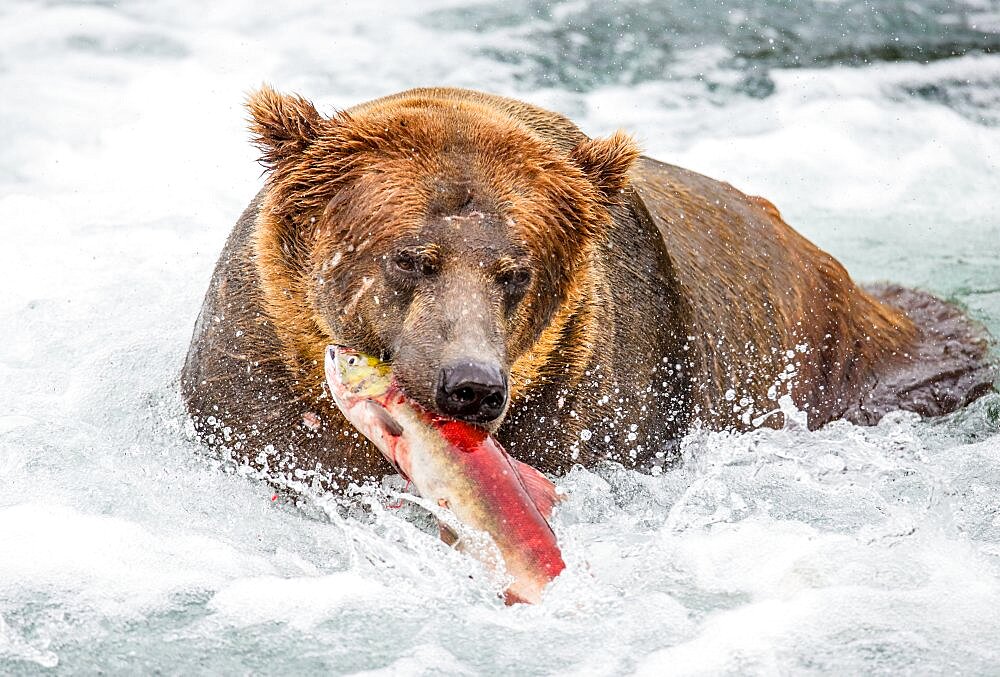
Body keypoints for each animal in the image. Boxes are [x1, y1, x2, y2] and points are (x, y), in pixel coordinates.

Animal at [184, 86, 996, 486]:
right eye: (411, 257)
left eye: (517, 272)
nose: (470, 384)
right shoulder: (254, 372)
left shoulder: (595, 393)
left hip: (837, 362)